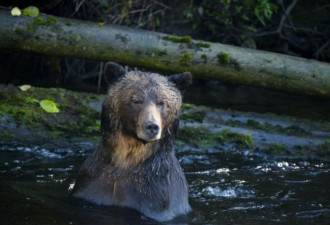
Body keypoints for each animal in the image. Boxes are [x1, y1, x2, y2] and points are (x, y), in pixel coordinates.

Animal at [71, 68, 192, 221]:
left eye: (161, 102)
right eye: (136, 100)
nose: (152, 126)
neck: (126, 159)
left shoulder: (154, 196)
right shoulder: (91, 184)